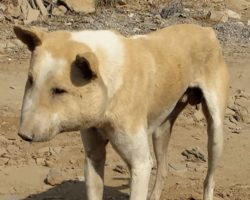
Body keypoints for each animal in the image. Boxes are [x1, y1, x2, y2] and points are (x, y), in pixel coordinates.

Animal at [13, 24, 229, 200]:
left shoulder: (141, 164)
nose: (23, 135)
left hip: (215, 134)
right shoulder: (93, 157)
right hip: (161, 131)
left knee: (209, 180)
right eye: (30, 80)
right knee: (163, 169)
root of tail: (206, 30)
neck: (111, 82)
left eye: (59, 90)